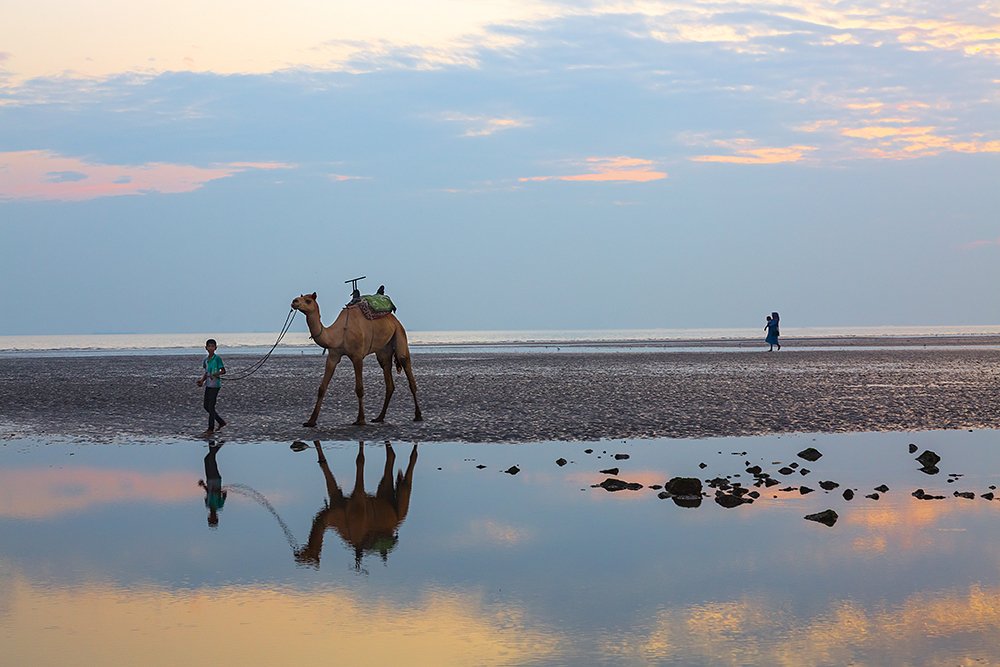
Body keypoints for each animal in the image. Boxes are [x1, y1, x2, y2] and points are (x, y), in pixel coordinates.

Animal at [291, 292, 422, 426]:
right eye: (300, 297)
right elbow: (322, 388)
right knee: (388, 378)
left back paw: (418, 415)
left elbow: (359, 388)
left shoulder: (357, 356)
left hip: (400, 334)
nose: (294, 301)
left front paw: (361, 419)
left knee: (407, 367)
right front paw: (311, 421)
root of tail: (394, 319)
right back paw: (379, 417)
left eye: (308, 301)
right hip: (384, 350)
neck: (340, 333)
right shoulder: (333, 356)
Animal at [294, 441, 417, 569]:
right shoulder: (336, 499)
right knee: (391, 457)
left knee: (405, 484)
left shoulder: (358, 502)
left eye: (306, 556)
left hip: (400, 509)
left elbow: (360, 460)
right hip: (385, 498)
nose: (296, 554)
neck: (338, 518)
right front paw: (321, 460)